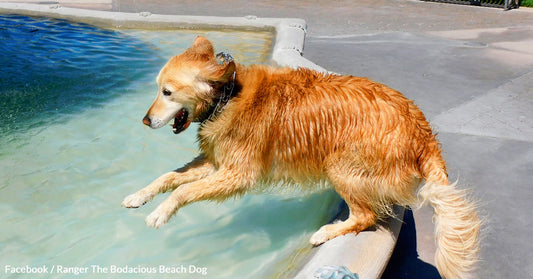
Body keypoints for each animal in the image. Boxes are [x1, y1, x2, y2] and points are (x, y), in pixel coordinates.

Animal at [122, 36, 480, 278]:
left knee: (365, 216)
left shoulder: (239, 174)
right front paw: (140, 196)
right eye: (158, 89)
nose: (145, 120)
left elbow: (183, 190)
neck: (228, 95)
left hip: (339, 164)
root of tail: (422, 130)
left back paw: (327, 232)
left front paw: (161, 214)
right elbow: (169, 177)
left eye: (167, 92)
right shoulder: (215, 163)